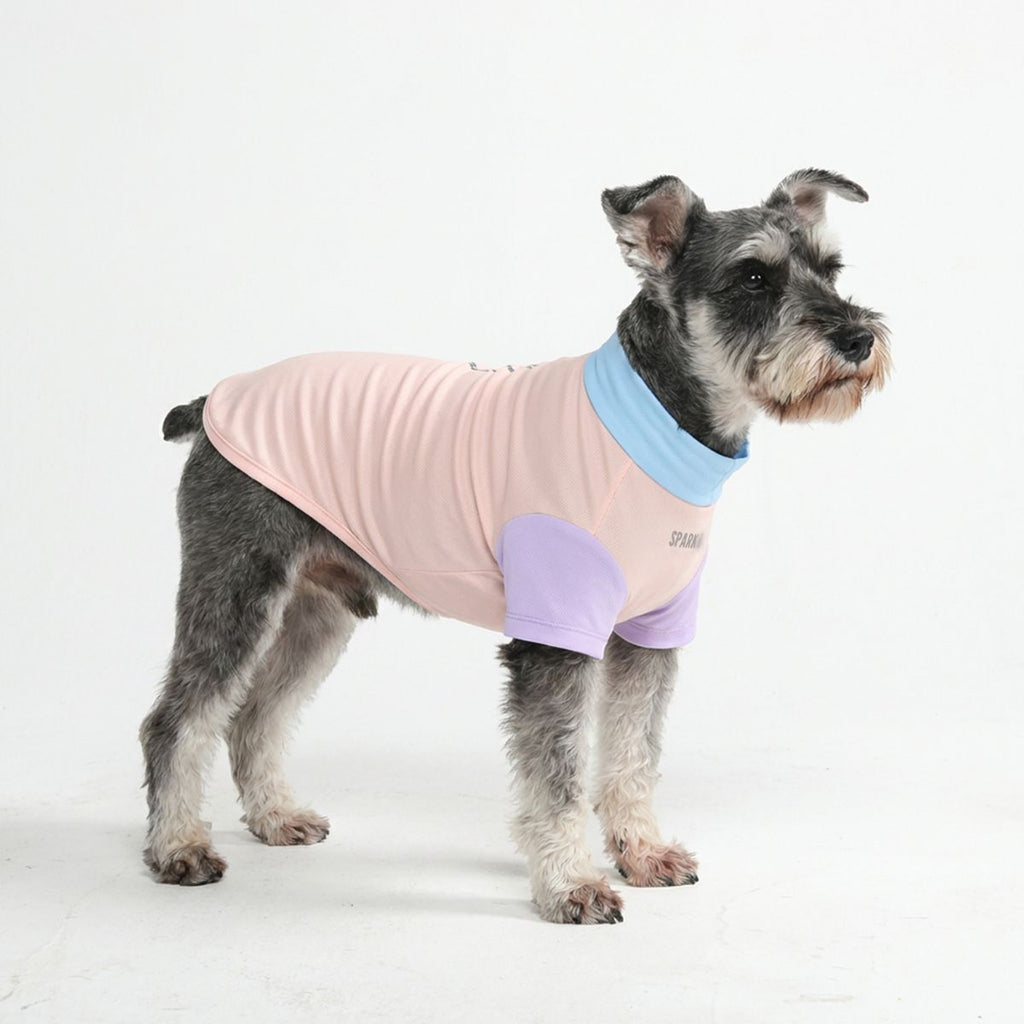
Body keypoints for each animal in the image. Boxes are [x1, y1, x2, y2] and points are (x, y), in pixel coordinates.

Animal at [141, 169, 890, 924]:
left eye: (831, 268)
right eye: (754, 277)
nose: (859, 338)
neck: (661, 418)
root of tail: (213, 401)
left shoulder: (650, 635)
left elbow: (632, 752)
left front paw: (642, 852)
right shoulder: (553, 640)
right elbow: (557, 775)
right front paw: (571, 883)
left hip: (316, 615)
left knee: (254, 718)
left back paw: (274, 817)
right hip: (236, 594)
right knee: (177, 721)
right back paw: (179, 846)